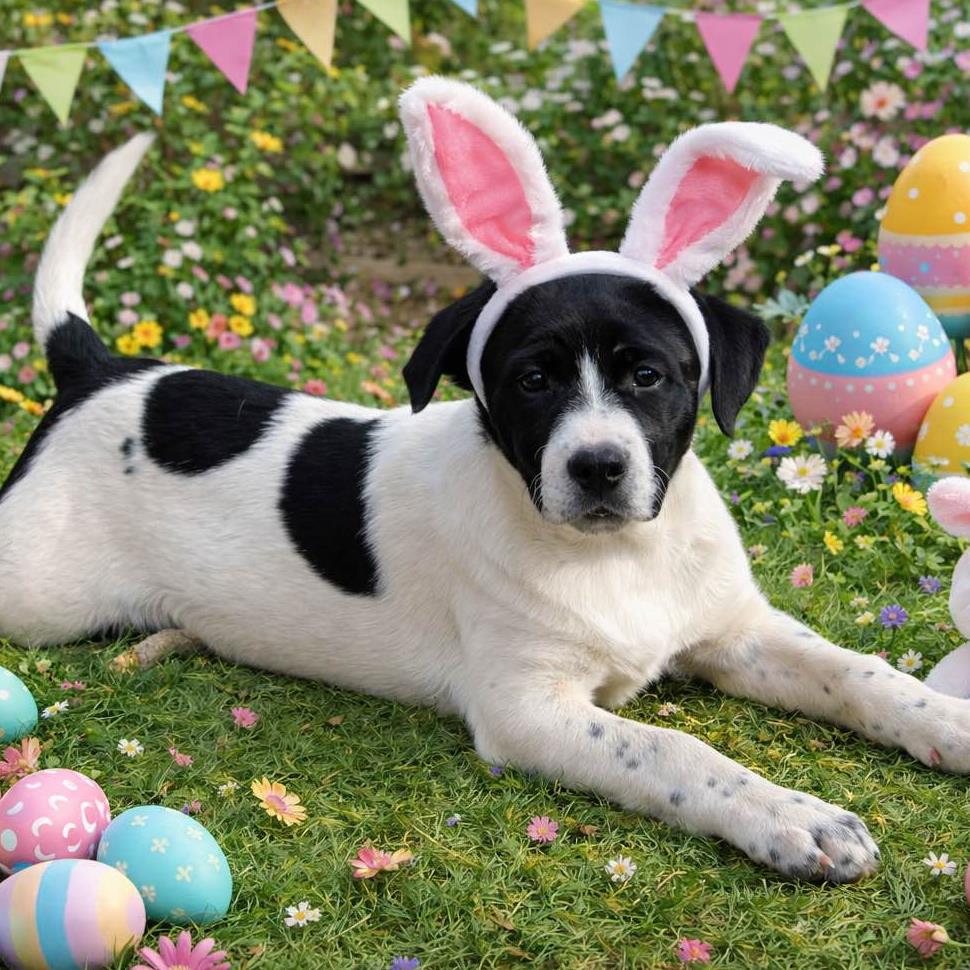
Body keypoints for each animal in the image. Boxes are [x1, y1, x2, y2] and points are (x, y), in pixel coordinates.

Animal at [3, 79, 969, 885]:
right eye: (532, 381)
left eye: (648, 376)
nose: (597, 467)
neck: (620, 554)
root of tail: (100, 369)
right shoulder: (527, 708)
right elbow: (673, 752)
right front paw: (793, 817)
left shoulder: (736, 631)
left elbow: (860, 672)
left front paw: (949, 721)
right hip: (38, 594)